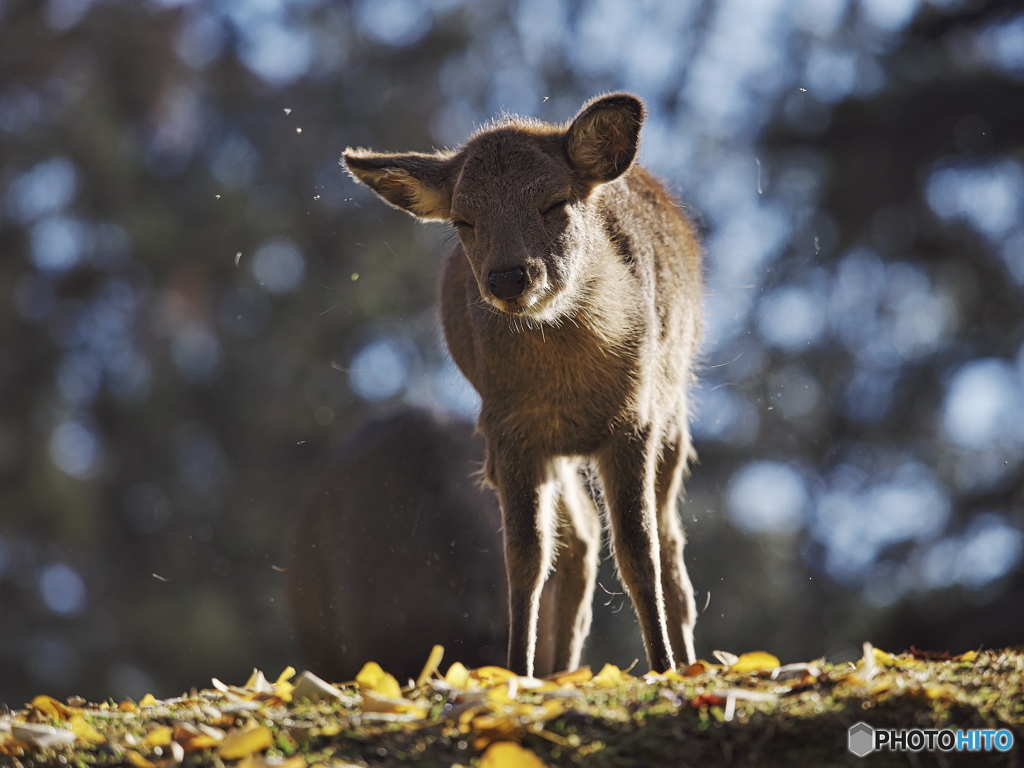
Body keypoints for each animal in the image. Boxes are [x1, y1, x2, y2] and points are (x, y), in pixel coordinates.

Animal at [344, 93, 704, 675]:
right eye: (463, 219)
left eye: (556, 202)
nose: (509, 277)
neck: (567, 386)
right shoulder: (507, 432)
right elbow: (525, 558)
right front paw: (518, 672)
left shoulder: (634, 421)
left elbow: (637, 550)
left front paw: (663, 666)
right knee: (580, 538)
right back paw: (564, 668)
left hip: (674, 414)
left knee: (668, 538)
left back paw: (689, 659)